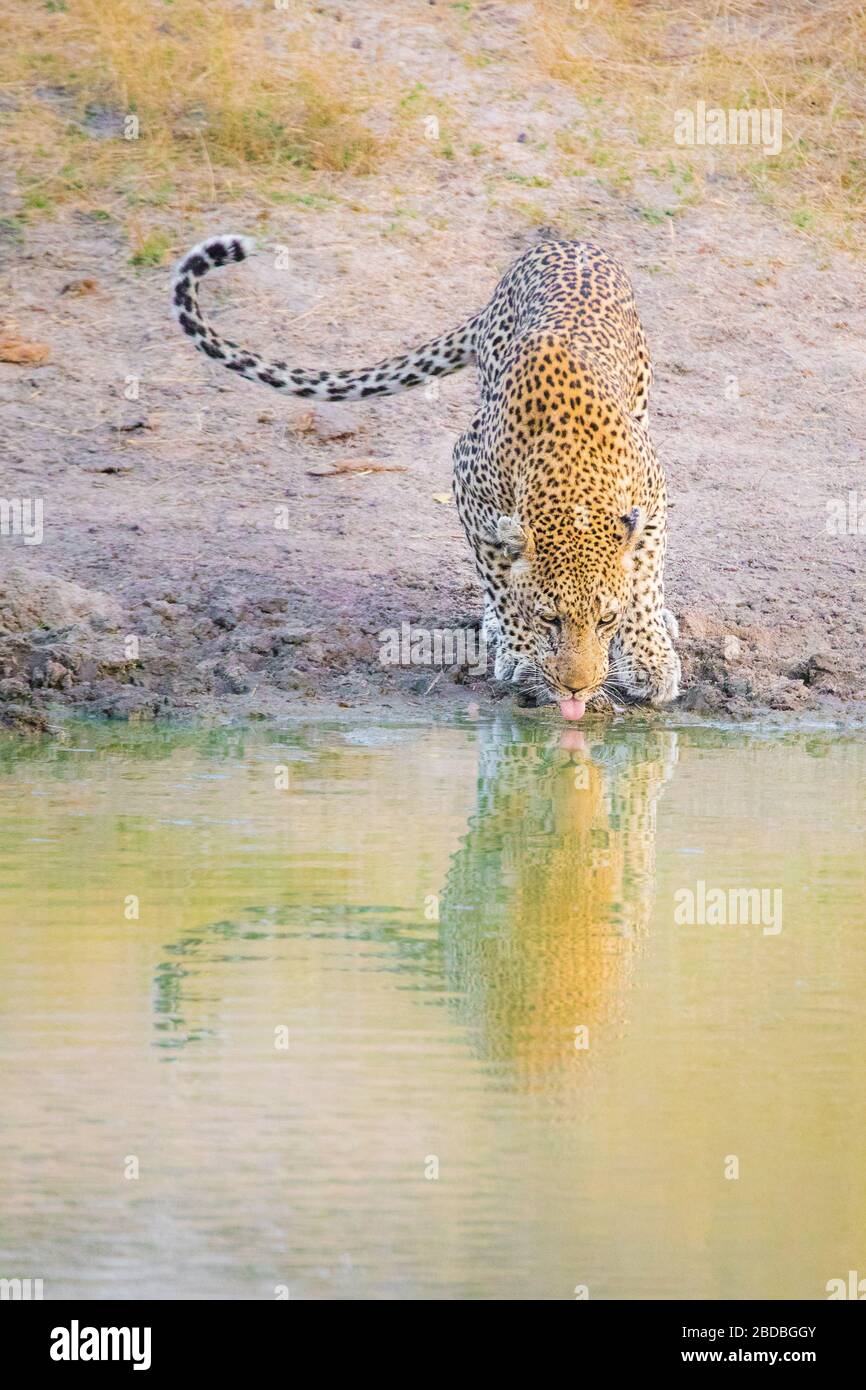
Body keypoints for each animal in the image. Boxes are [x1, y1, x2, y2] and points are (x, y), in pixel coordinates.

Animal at [173, 233, 681, 722]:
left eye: (605, 620)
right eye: (550, 619)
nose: (577, 688)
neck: (572, 471)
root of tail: (561, 242)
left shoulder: (652, 495)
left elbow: (644, 579)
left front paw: (650, 658)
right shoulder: (468, 484)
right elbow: (500, 581)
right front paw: (520, 650)